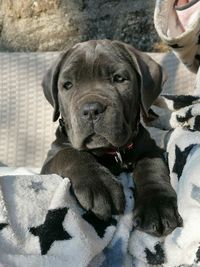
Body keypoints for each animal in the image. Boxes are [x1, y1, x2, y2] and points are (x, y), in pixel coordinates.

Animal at [41, 39, 182, 237]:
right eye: (67, 85)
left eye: (119, 79)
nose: (91, 110)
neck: (110, 152)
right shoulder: (50, 160)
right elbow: (71, 154)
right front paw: (100, 185)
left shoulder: (150, 148)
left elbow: (151, 167)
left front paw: (157, 206)